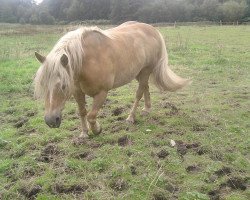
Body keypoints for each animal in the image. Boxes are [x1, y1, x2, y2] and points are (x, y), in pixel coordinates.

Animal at [33, 21, 189, 138]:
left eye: (64, 86)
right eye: (43, 85)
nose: (50, 121)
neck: (87, 61)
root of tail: (153, 30)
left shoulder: (102, 93)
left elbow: (91, 115)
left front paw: (97, 129)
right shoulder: (77, 92)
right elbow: (82, 112)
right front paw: (84, 133)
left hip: (146, 71)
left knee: (139, 93)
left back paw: (131, 117)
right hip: (138, 72)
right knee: (146, 87)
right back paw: (146, 109)